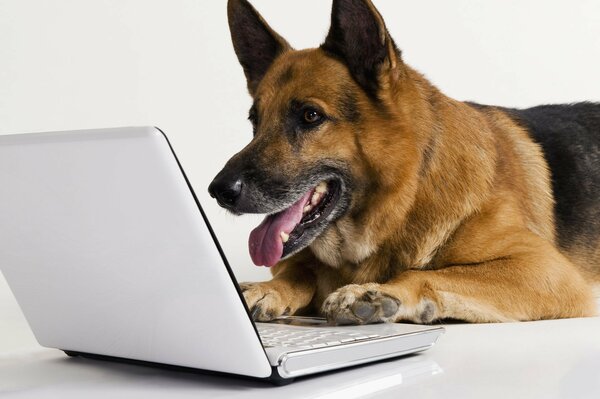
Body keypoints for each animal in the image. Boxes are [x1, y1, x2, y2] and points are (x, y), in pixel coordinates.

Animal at [209, 0, 596, 324]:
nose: (218, 191)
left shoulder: (545, 269)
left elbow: (422, 273)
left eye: (310, 116)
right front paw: (264, 289)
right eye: (254, 121)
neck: (407, 197)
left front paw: (377, 291)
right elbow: (296, 271)